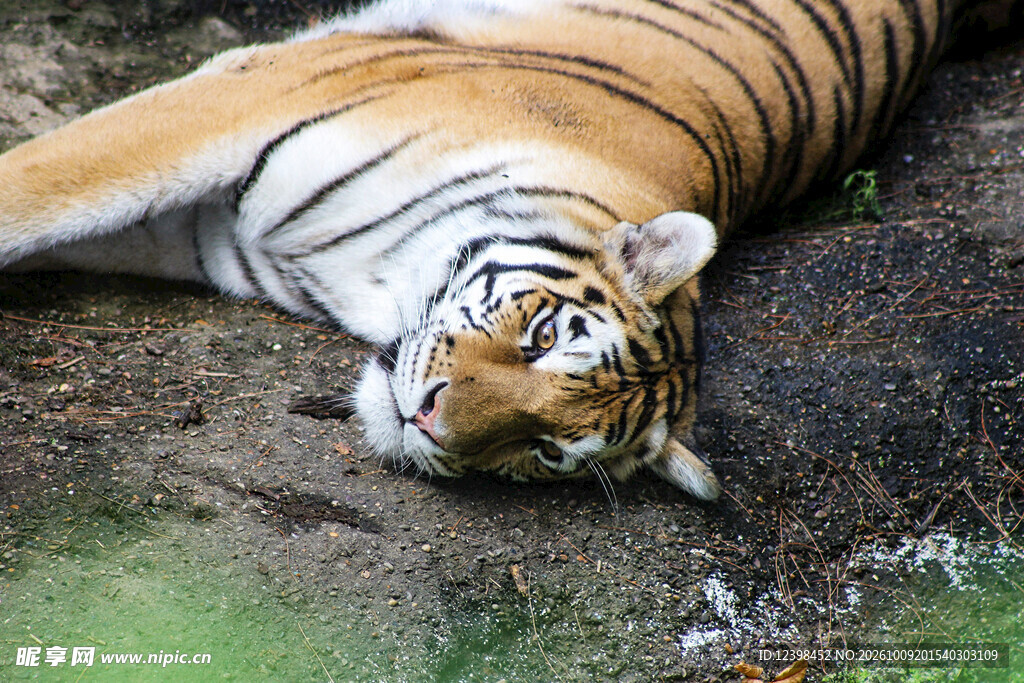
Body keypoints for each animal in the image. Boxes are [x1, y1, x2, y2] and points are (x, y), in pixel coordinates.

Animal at [0, 0, 1014, 500]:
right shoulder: (236, 100)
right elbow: (30, 187)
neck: (362, 273)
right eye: (545, 336)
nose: (425, 423)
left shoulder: (192, 229)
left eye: (550, 451)